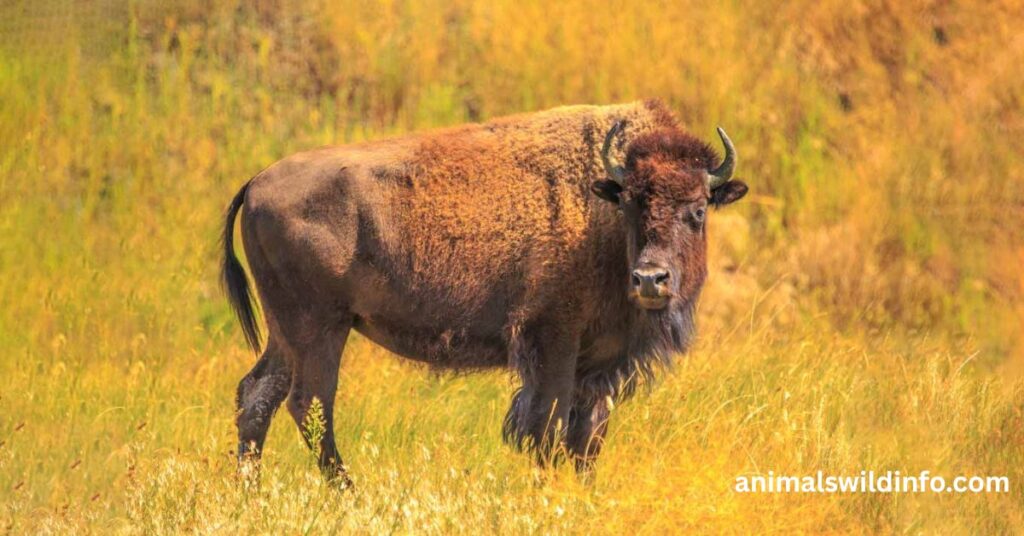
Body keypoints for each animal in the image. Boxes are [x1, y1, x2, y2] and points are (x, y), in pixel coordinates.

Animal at [223, 99, 749, 484]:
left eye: (698, 209)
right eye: (633, 203)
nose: (650, 279)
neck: (599, 211)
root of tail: (256, 182)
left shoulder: (598, 364)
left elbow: (588, 435)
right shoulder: (552, 343)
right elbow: (548, 427)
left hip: (286, 333)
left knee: (258, 396)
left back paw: (251, 491)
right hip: (320, 329)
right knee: (308, 403)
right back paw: (348, 490)